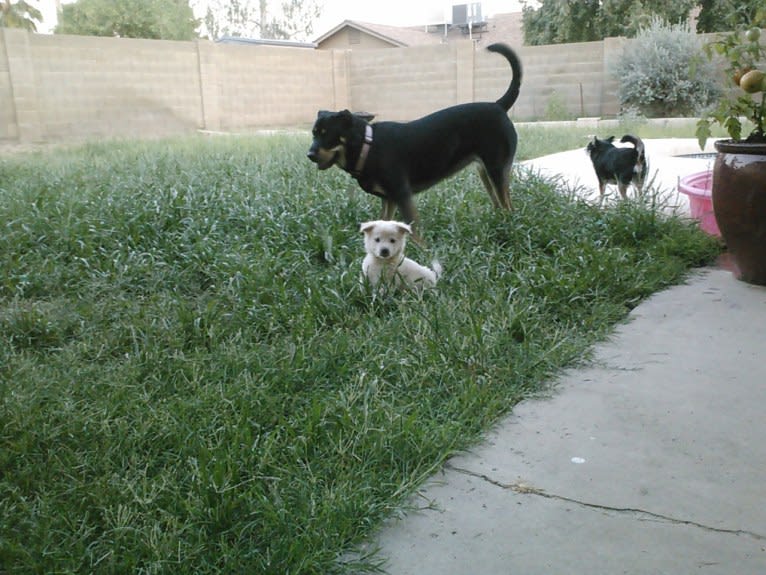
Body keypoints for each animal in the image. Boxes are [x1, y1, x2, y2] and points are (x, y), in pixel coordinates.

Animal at [308, 42, 524, 236]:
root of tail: (498, 105)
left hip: (496, 169)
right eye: (314, 133)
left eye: (326, 134)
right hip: (484, 171)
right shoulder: (389, 199)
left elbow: (414, 232)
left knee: (508, 206)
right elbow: (384, 223)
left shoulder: (402, 195)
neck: (367, 146)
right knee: (501, 204)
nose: (309, 154)